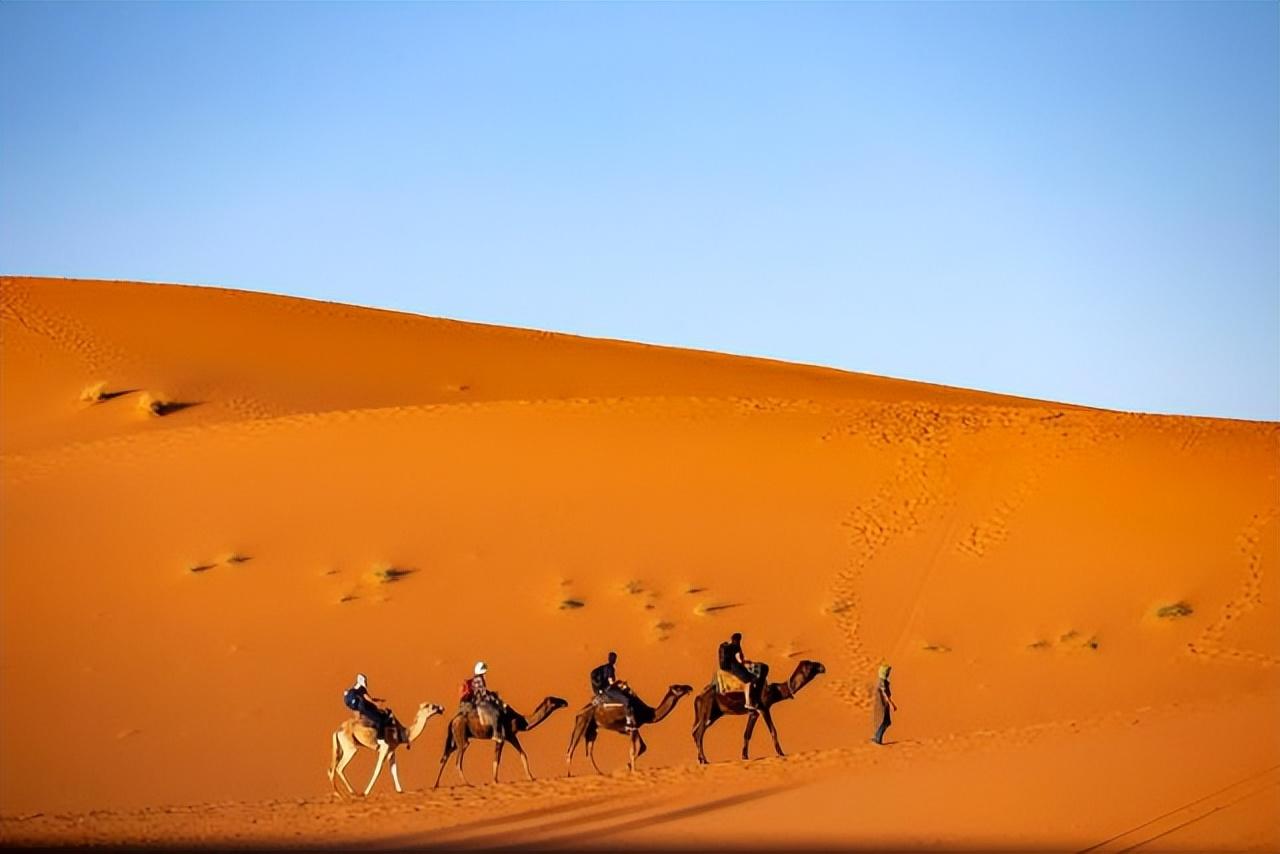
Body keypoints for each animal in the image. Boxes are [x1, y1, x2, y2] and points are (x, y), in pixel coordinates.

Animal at [432, 696, 568, 788]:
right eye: (554, 700)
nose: (565, 702)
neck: (521, 721)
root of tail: (453, 720)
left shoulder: (511, 736)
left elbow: (523, 754)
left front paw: (531, 777)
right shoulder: (503, 737)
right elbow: (497, 759)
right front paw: (495, 781)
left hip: (455, 739)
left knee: (446, 756)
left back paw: (436, 784)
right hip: (462, 739)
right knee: (457, 761)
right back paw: (467, 783)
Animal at [568, 686, 696, 778]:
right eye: (678, 688)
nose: (689, 687)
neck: (648, 713)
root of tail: (579, 712)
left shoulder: (634, 729)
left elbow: (642, 746)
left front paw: (628, 766)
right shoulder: (631, 728)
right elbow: (633, 750)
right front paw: (633, 771)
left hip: (592, 728)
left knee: (589, 749)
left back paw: (600, 772)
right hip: (583, 722)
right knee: (571, 749)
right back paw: (569, 775)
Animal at [696, 660, 824, 763]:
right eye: (811, 665)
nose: (822, 667)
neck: (774, 691)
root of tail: (698, 697)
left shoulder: (754, 713)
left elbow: (747, 734)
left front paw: (745, 756)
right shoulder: (763, 708)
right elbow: (773, 730)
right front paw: (781, 753)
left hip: (714, 714)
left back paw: (701, 760)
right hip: (708, 713)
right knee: (698, 734)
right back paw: (704, 760)